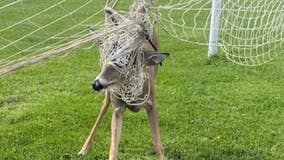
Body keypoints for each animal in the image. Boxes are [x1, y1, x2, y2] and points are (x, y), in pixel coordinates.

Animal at [77, 1, 169, 159]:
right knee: (102, 107)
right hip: (109, 95)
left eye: (125, 62)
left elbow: (158, 144)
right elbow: (113, 148)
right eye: (105, 57)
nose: (96, 84)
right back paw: (84, 149)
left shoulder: (152, 103)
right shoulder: (118, 107)